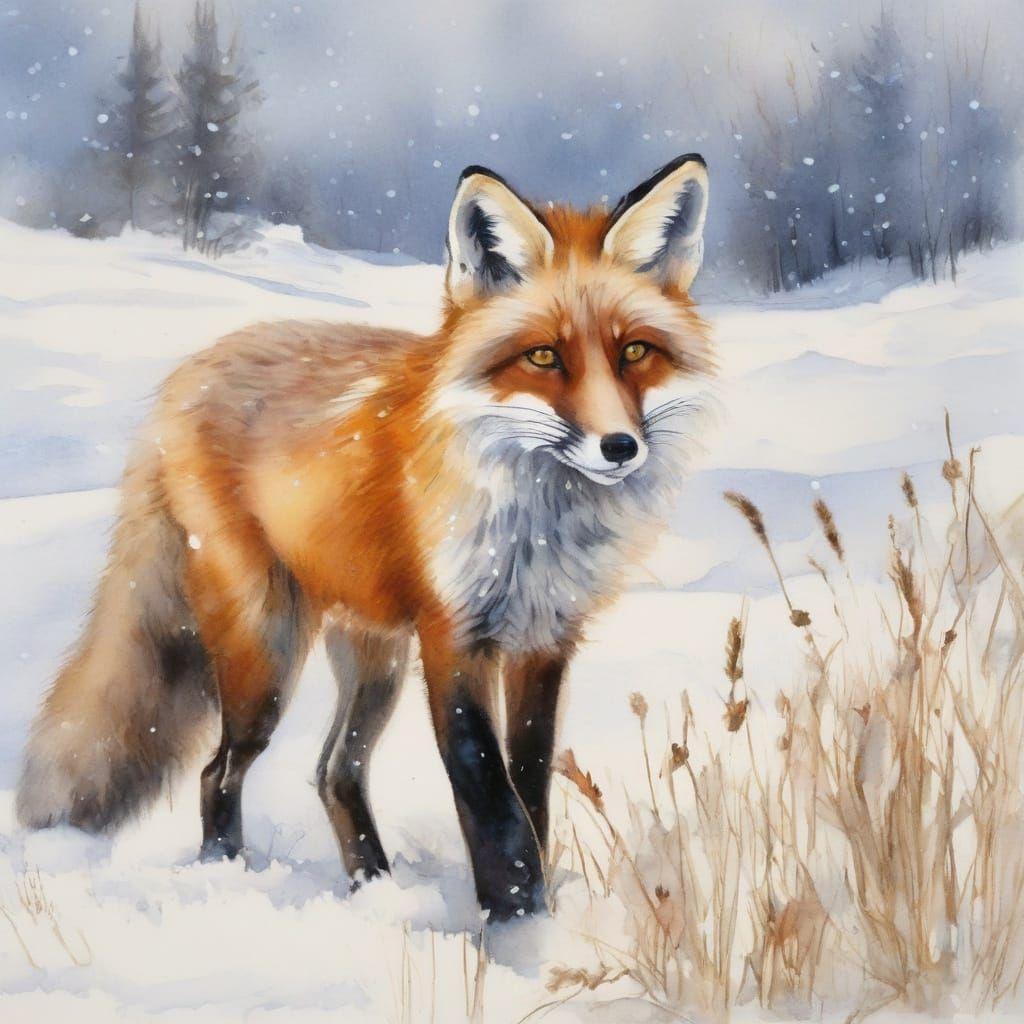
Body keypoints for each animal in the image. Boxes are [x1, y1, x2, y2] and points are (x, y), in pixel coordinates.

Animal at [17, 154, 714, 920]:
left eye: (635, 351)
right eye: (542, 358)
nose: (620, 447)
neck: (534, 527)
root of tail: (185, 374)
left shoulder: (544, 641)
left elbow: (530, 791)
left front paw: (529, 918)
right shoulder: (452, 638)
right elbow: (493, 804)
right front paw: (515, 925)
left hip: (374, 655)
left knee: (333, 773)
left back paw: (374, 892)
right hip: (267, 655)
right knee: (215, 771)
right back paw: (226, 875)